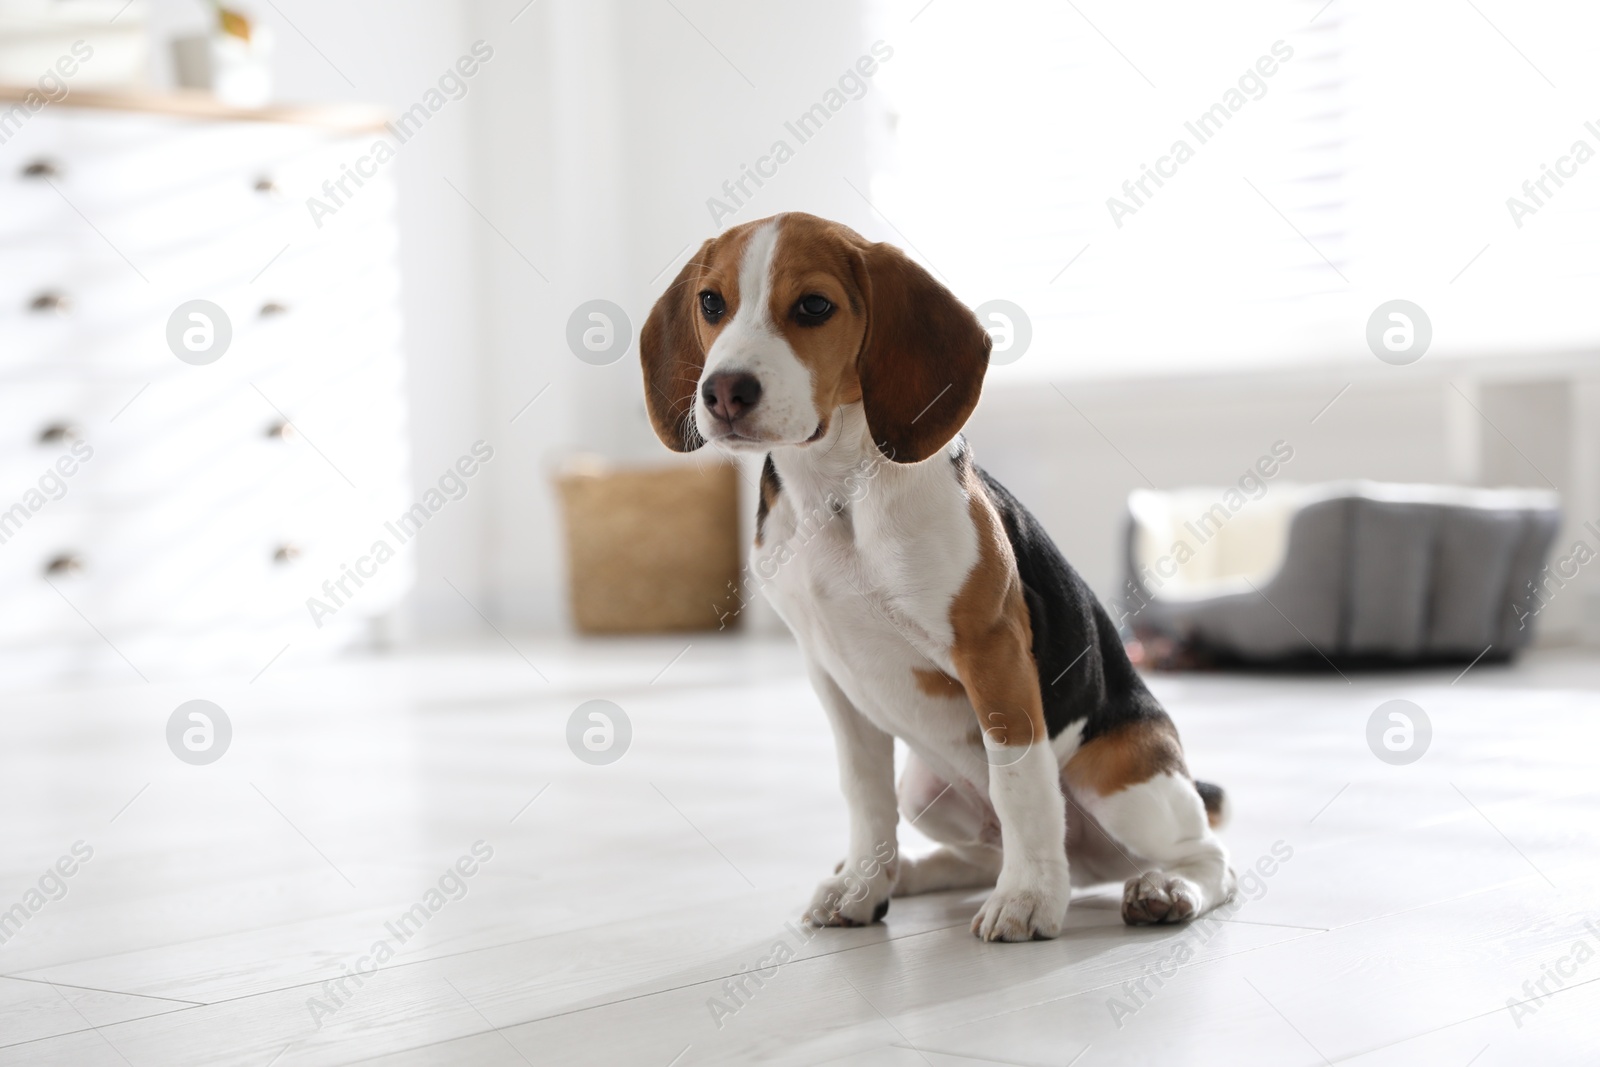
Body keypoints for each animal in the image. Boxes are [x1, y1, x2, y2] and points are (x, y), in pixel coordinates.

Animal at [640, 212, 1235, 940]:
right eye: (711, 303)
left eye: (814, 307)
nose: (724, 390)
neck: (838, 493)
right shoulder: (831, 673)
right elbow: (864, 791)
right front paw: (863, 884)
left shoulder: (993, 654)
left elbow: (1019, 784)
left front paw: (1029, 899)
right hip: (926, 792)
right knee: (979, 850)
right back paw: (907, 874)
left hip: (1122, 780)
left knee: (1206, 854)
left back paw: (1161, 886)